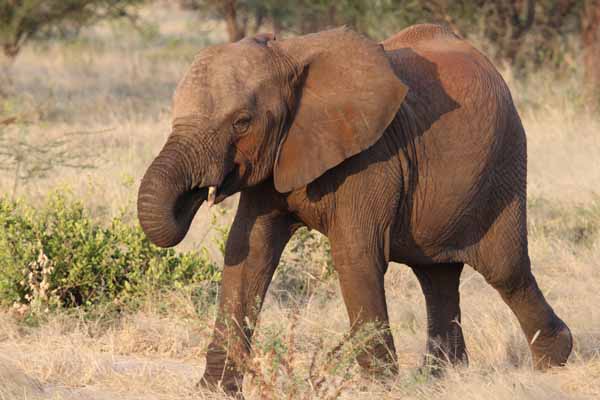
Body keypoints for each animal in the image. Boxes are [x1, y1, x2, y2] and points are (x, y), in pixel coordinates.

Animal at [136, 23, 572, 396]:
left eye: (242, 122)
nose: (200, 194)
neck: (289, 55)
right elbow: (248, 253)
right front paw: (212, 391)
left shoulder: (372, 158)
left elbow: (355, 255)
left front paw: (380, 390)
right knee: (437, 276)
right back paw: (441, 378)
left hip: (505, 164)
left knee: (505, 270)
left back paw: (555, 360)